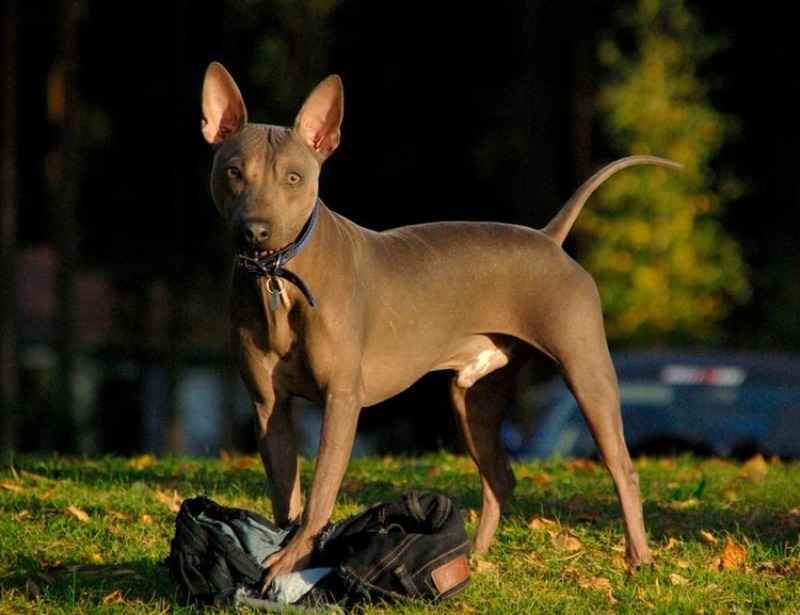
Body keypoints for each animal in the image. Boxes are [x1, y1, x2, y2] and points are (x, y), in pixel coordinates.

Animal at [200, 62, 680, 592]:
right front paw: (281, 547)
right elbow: (286, 492)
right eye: (233, 172)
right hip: (474, 397)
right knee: (500, 477)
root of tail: (549, 239)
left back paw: (639, 559)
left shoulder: (342, 401)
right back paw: (477, 555)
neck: (277, 279)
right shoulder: (268, 406)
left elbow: (322, 490)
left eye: (293, 177)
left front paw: (293, 558)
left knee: (622, 468)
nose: (256, 230)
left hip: (586, 369)